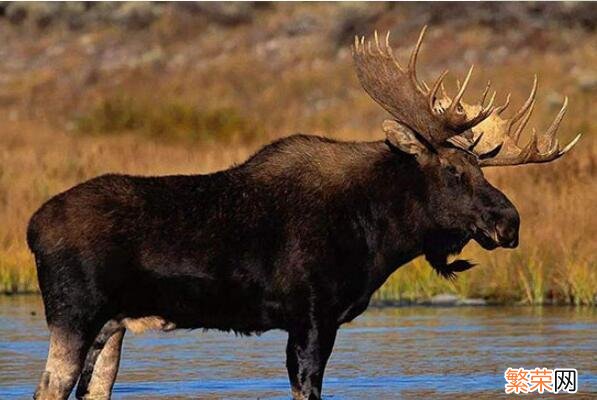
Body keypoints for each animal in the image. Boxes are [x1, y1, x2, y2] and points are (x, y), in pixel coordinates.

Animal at [28, 28, 576, 400]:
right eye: (453, 170)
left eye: (480, 167)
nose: (509, 222)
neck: (377, 234)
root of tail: (33, 226)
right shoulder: (313, 314)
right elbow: (307, 385)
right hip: (74, 315)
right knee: (49, 387)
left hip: (112, 327)